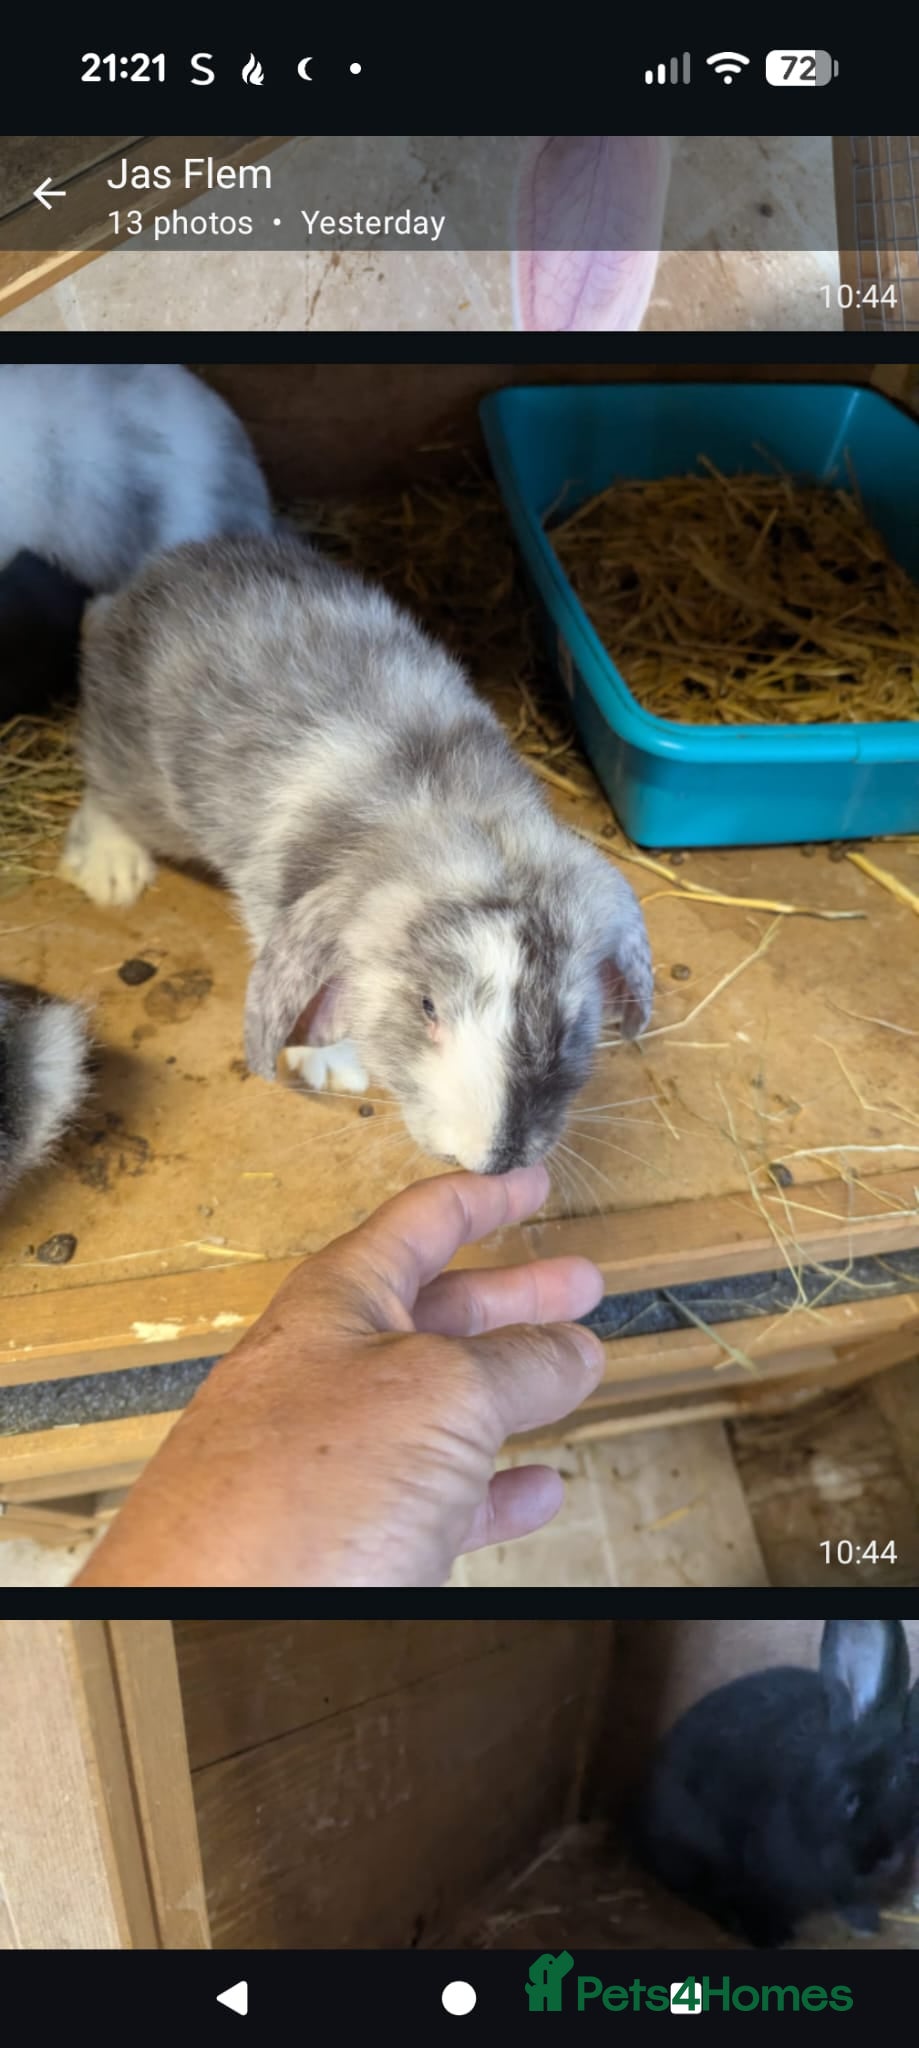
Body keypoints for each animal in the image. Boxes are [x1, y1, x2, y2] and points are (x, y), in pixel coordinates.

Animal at [60, 532, 653, 1174]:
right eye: (426, 1006)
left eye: (569, 1024)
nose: (493, 1157)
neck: (464, 819)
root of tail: (156, 571)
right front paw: (335, 1066)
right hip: (140, 781)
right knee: (103, 785)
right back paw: (114, 873)